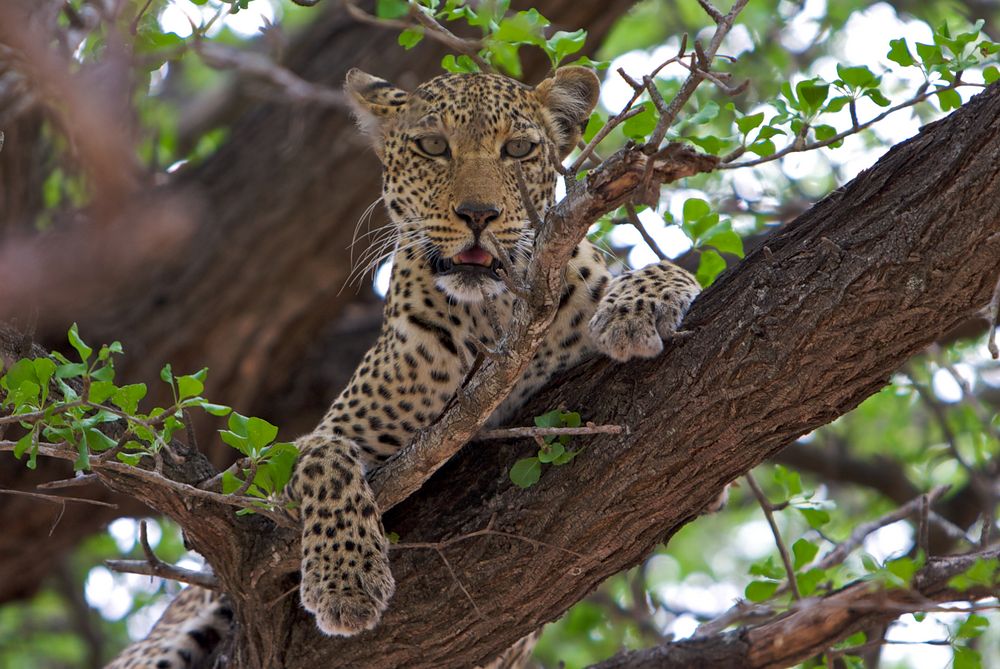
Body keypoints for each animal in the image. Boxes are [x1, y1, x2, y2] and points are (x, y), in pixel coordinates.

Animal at [101, 64, 696, 668]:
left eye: (519, 149)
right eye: (433, 147)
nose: (478, 215)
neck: (496, 316)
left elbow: (666, 269)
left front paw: (632, 307)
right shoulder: (299, 461)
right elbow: (323, 458)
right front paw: (345, 581)